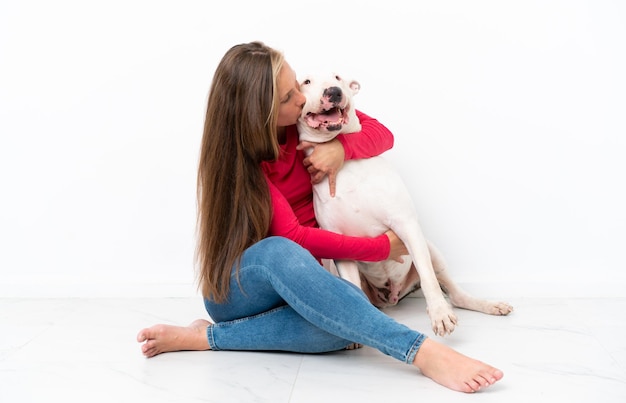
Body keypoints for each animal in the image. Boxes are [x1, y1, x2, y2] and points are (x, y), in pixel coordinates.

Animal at [294, 72, 510, 338]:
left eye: (337, 77)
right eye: (306, 82)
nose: (334, 91)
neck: (344, 167)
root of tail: (392, 296)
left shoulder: (406, 224)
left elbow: (428, 279)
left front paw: (440, 315)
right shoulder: (339, 244)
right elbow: (351, 287)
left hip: (431, 250)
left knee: (454, 292)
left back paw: (488, 305)